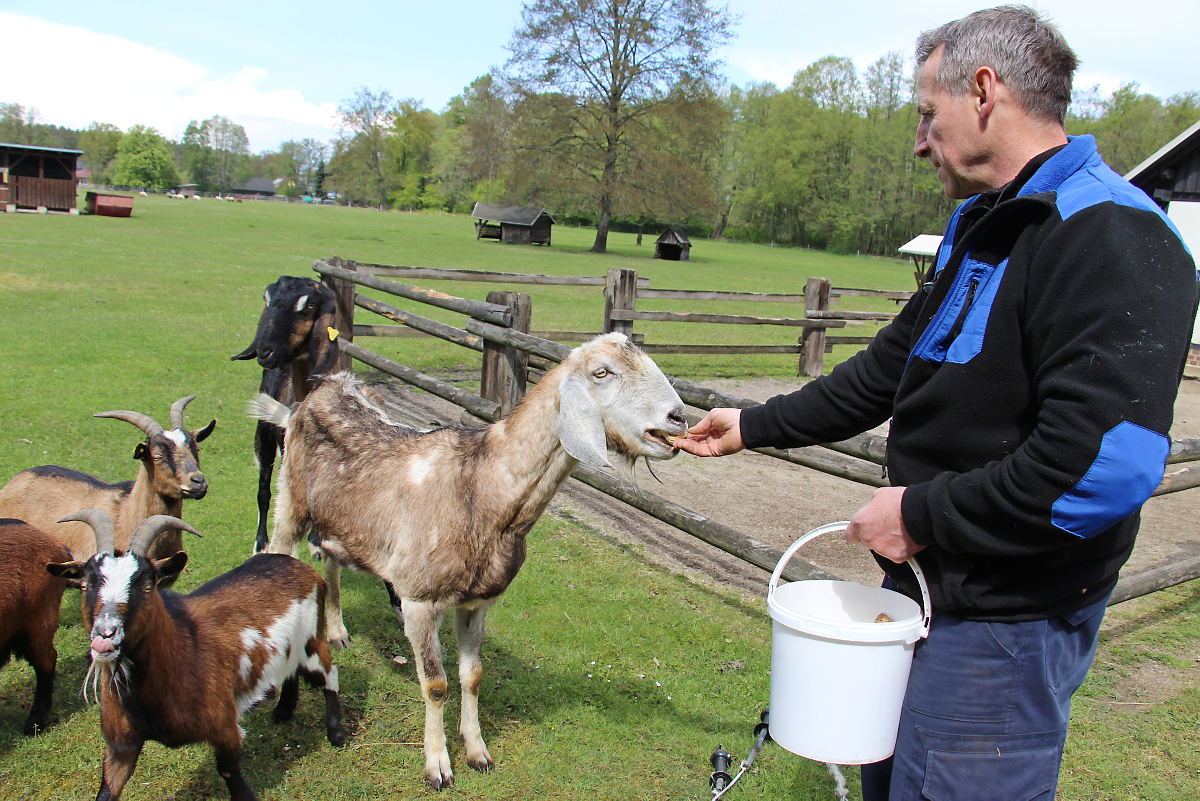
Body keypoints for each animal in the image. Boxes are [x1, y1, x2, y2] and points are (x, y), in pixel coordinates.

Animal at [48, 513, 348, 801]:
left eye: (147, 586)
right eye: (85, 585)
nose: (105, 634)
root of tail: (299, 567)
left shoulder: (224, 725)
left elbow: (229, 773)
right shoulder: (120, 743)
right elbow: (107, 789)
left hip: (313, 641)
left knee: (329, 675)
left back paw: (336, 734)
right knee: (291, 671)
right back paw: (283, 711)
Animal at [231, 275, 340, 551]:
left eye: (309, 305)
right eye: (267, 299)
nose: (264, 351)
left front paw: (316, 542)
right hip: (264, 435)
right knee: (264, 490)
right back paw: (260, 542)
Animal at [253, 330, 686, 786]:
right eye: (602, 372)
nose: (679, 417)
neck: (483, 489)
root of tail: (320, 392)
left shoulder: (477, 602)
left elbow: (473, 676)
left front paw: (477, 750)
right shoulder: (419, 600)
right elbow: (436, 684)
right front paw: (438, 765)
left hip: (344, 519)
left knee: (333, 559)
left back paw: (337, 630)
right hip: (291, 504)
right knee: (280, 548)